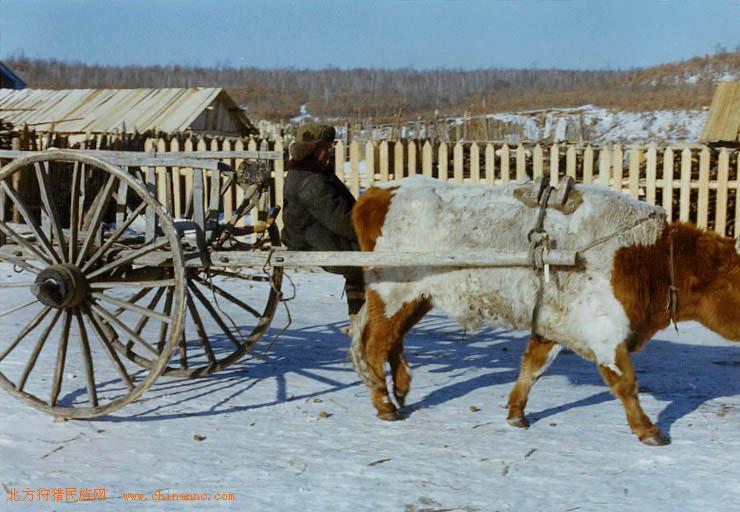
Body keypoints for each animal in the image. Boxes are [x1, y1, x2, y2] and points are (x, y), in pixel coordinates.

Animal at [349, 176, 740, 446]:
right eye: (736, 282)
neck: (641, 257)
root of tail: (381, 191)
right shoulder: (606, 335)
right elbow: (626, 384)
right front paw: (648, 430)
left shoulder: (553, 324)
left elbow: (531, 368)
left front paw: (516, 412)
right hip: (393, 293)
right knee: (375, 346)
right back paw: (385, 404)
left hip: (416, 297)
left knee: (392, 340)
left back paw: (401, 389)